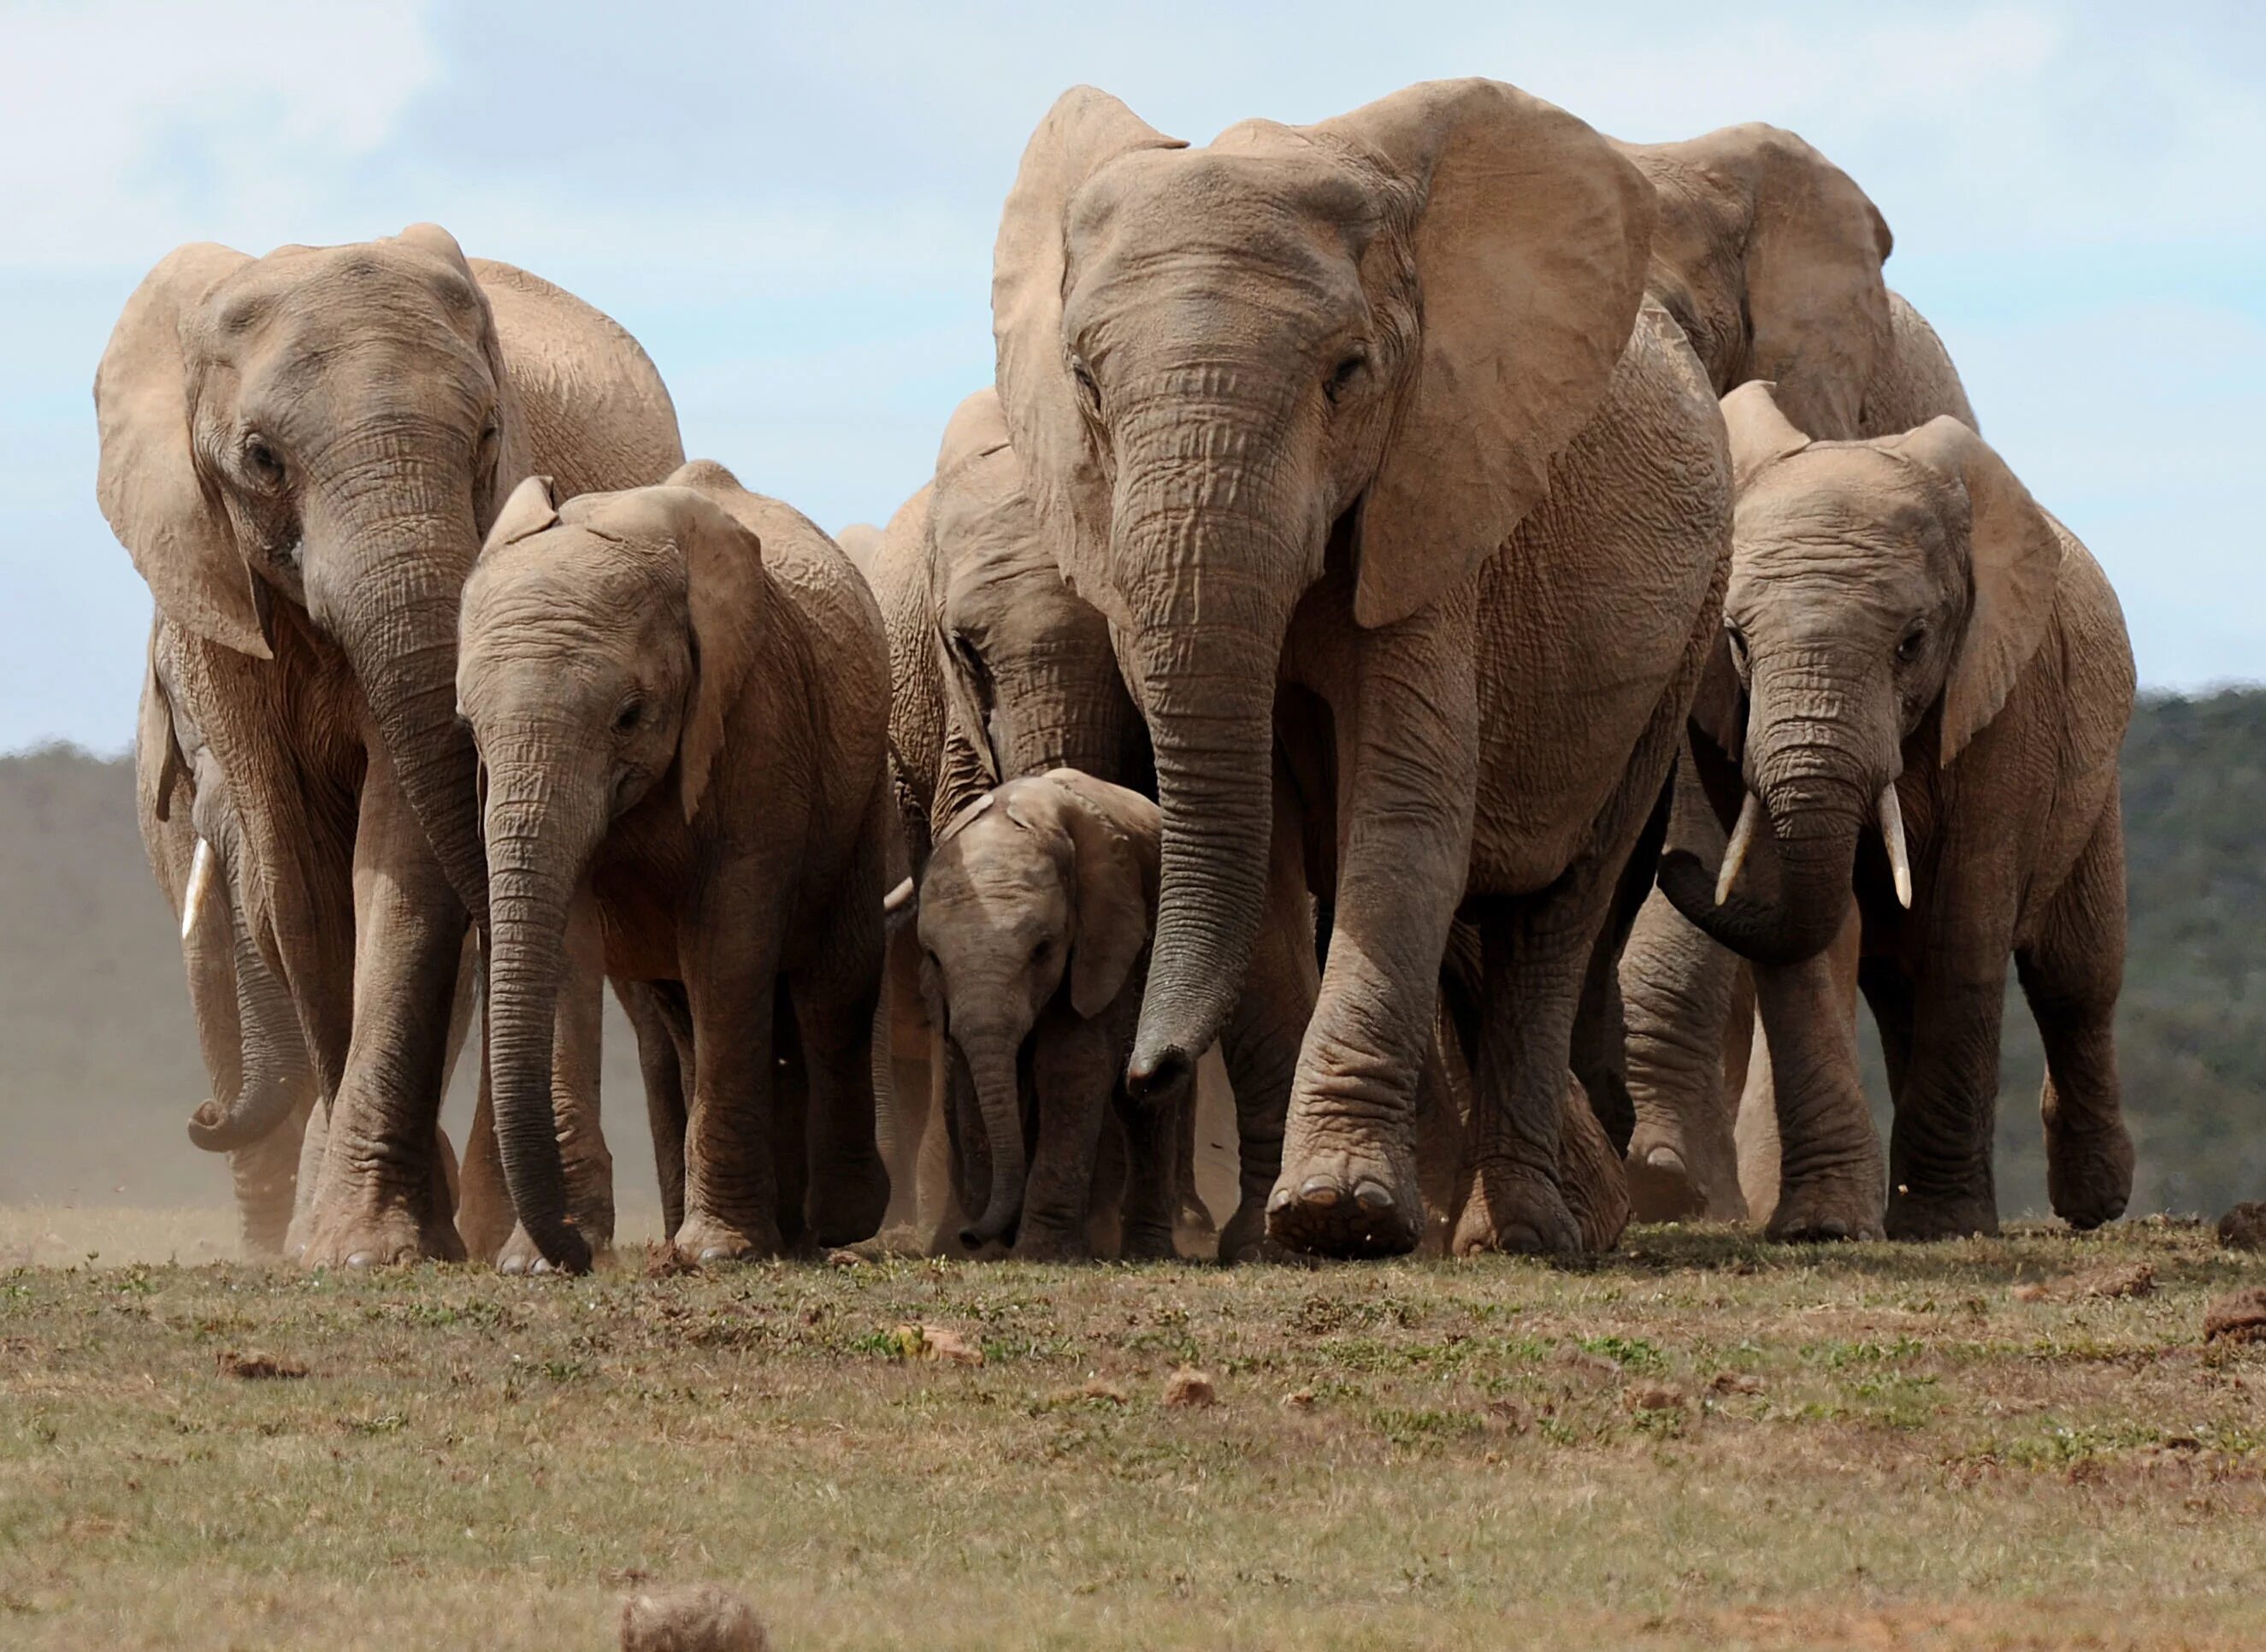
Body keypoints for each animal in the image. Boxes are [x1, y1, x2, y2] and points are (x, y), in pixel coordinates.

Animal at [97, 225, 680, 1260]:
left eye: (487, 437)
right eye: (261, 458)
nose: (199, 1120)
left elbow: (401, 857)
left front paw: (375, 1242)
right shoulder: (213, 600)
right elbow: (298, 878)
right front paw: (365, 1239)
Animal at [457, 457, 893, 1269]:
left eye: (630, 716)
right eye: (469, 728)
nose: (578, 1255)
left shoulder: (760, 717)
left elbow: (728, 946)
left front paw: (717, 1253)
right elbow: (570, 952)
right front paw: (536, 1262)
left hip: (863, 793)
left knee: (836, 986)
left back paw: (836, 1225)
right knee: (686, 1012)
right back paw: (785, 1229)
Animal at [915, 765, 1305, 1260]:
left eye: (1043, 950)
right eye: (932, 958)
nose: (970, 1235)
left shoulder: (1105, 935)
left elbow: (1072, 1066)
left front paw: (1039, 1252)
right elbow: (969, 1068)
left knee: (1143, 1109)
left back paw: (1147, 1253)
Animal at [988, 80, 1713, 1250]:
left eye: (1347, 375)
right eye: (1087, 386)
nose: (1147, 1072)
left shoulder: (1436, 496)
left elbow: (1405, 816)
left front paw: (1338, 1216)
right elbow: (1271, 849)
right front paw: (1271, 1241)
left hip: (1683, 631)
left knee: (1559, 907)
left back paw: (1529, 1235)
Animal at [1658, 387, 2130, 1232]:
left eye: (1912, 642)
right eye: (1736, 640)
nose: (1673, 858)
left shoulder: (2012, 701)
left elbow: (1967, 926)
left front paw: (1946, 1227)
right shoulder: (1726, 717)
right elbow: (1806, 927)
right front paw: (1821, 1227)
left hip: (2094, 775)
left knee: (2076, 977)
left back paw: (2094, 1205)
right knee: (1901, 982)